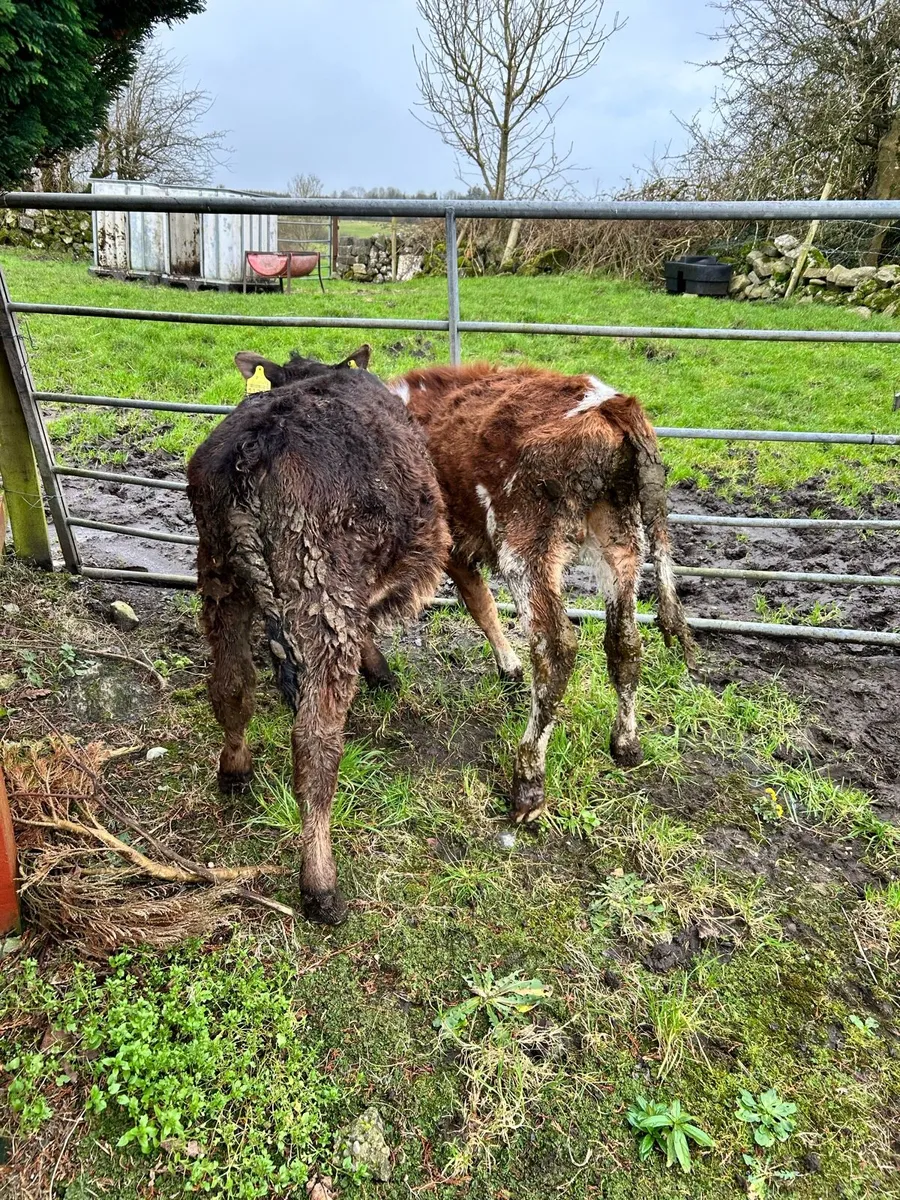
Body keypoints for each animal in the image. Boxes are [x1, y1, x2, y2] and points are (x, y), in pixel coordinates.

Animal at [187, 346, 450, 924]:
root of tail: (254, 447)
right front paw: (381, 672)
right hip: (320, 590)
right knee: (313, 742)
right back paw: (320, 883)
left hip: (219, 573)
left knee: (230, 686)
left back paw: (234, 769)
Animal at [388, 362, 694, 824]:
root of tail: (613, 405)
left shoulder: (451, 548)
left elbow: (481, 605)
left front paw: (508, 667)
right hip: (620, 538)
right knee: (625, 644)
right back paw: (625, 744)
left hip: (525, 546)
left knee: (556, 650)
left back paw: (529, 779)